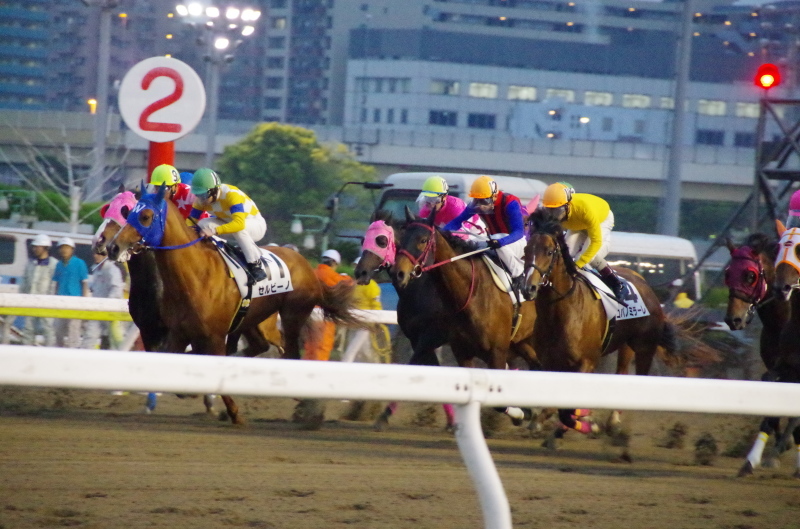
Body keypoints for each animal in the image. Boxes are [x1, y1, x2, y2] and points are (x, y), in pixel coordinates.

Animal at [105, 187, 360, 424]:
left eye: (146, 216)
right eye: (129, 215)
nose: (113, 247)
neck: (194, 274)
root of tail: (308, 266)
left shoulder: (214, 336)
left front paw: (234, 413)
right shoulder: (178, 332)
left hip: (293, 315)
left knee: (291, 354)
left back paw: (304, 406)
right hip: (253, 320)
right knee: (260, 346)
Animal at [524, 210, 680, 438]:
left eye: (549, 251)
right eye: (526, 250)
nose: (528, 287)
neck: (561, 311)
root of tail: (645, 283)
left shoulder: (587, 362)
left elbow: (567, 410)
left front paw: (586, 423)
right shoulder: (550, 363)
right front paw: (546, 419)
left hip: (645, 347)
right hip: (625, 346)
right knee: (622, 373)